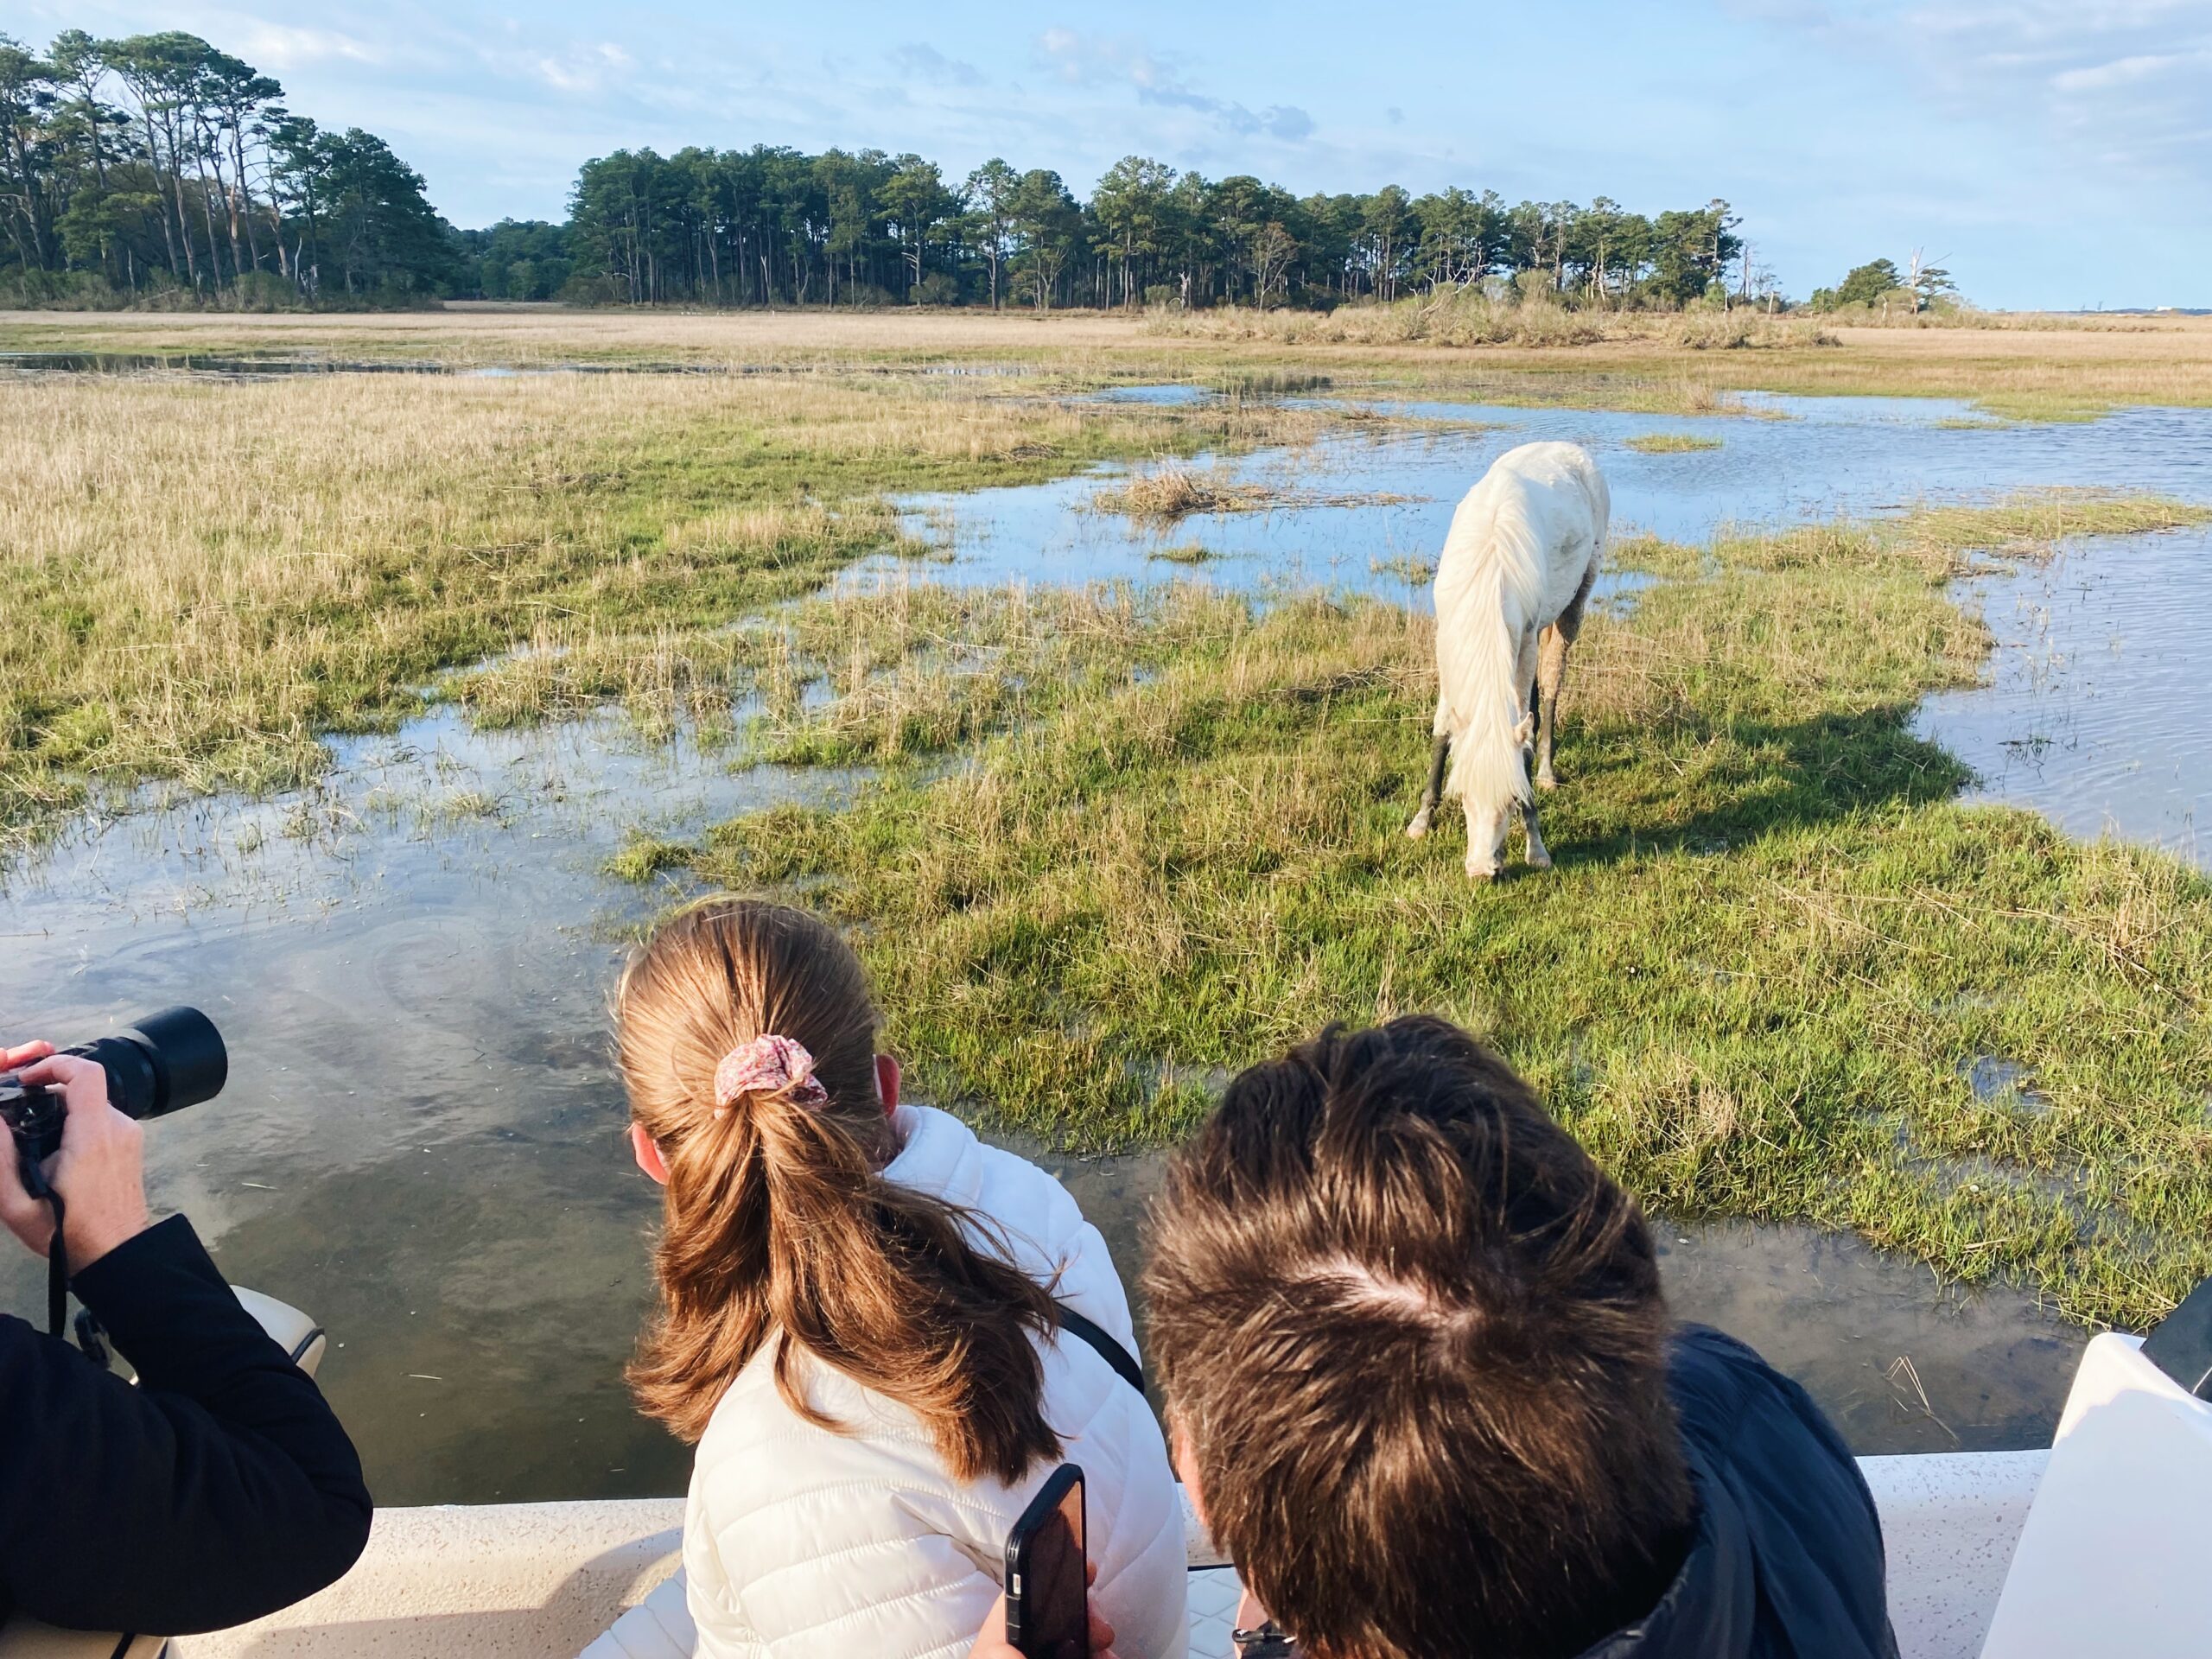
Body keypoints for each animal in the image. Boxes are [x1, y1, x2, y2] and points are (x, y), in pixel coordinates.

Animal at [1407, 442, 1618, 885]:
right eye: (1464, 798)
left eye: (1511, 799)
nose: (1483, 870)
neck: (1488, 574)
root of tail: (1570, 449)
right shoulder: (1447, 647)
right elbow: (1443, 728)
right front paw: (1421, 820)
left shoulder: (1522, 641)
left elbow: (1521, 739)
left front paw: (1536, 847)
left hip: (1572, 604)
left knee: (1551, 685)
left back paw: (1548, 770)